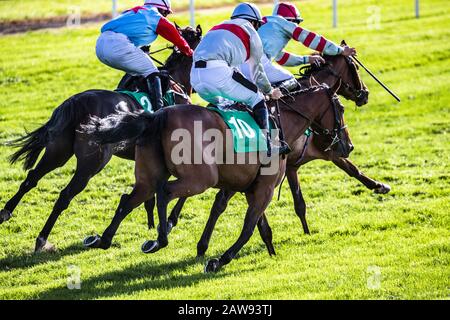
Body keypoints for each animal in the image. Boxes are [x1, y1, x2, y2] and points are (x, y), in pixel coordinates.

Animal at [0, 25, 202, 252]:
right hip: (92, 163)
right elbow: (180, 191)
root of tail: (77, 102)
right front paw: (167, 222)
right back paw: (42, 238)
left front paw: (151, 223)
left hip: (57, 152)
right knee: (65, 195)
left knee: (31, 178)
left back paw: (6, 212)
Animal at [82, 83, 354, 272]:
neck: (279, 124)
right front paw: (220, 260)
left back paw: (103, 239)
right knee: (164, 192)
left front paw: (271, 252)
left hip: (149, 177)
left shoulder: (248, 187)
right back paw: (160, 239)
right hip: (200, 179)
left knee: (130, 199)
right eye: (341, 108)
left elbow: (260, 226)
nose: (348, 146)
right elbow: (248, 228)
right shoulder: (264, 189)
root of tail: (158, 115)